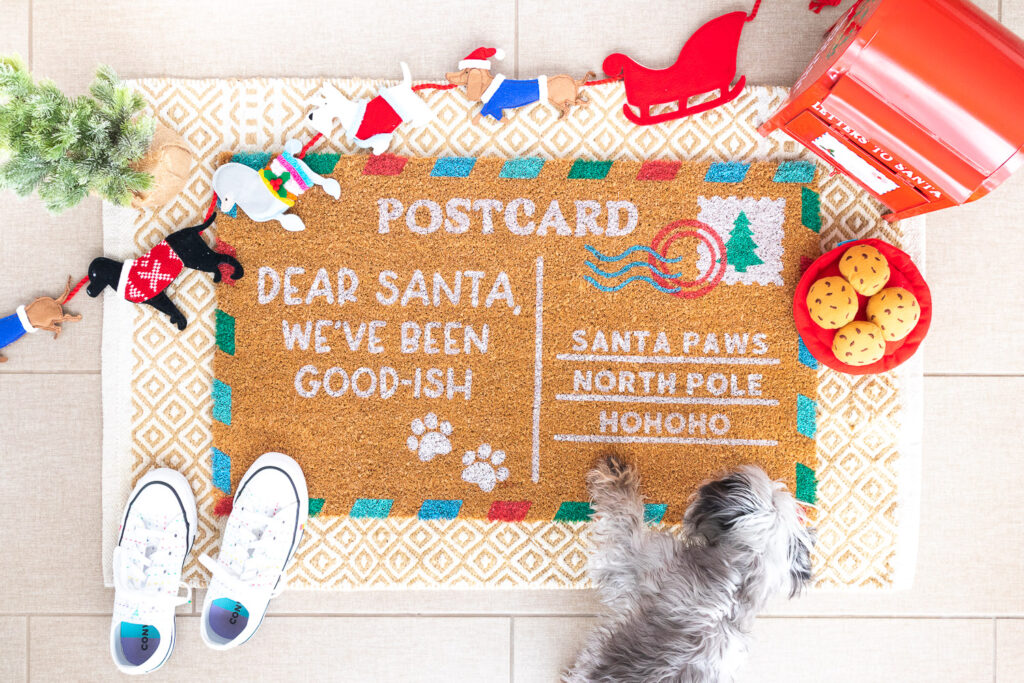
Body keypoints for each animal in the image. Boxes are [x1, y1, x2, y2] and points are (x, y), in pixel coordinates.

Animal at [86, 214, 241, 331]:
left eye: (94, 276)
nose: (88, 291)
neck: (117, 274)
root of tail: (190, 230)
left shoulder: (158, 298)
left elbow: (173, 310)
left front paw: (181, 324)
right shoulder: (157, 299)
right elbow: (172, 311)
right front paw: (176, 320)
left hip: (197, 258)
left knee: (223, 258)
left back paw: (237, 273)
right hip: (199, 258)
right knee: (216, 264)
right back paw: (218, 277)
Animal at [303, 62, 432, 154]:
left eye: (326, 103)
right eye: (320, 103)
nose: (310, 116)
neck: (347, 112)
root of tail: (404, 85)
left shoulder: (380, 138)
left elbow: (379, 147)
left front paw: (377, 154)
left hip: (413, 105)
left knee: (425, 113)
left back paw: (417, 122)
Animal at [446, 48, 593, 121]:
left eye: (466, 72)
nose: (447, 75)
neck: (488, 85)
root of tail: (573, 80)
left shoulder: (491, 107)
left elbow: (479, 116)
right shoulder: (493, 109)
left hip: (559, 100)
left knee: (572, 106)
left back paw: (563, 117)